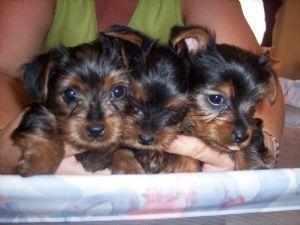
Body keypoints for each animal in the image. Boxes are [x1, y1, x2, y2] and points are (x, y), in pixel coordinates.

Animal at [10, 33, 129, 176]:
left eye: (118, 91)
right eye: (70, 92)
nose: (96, 130)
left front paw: (99, 157)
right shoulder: (40, 108)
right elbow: (43, 123)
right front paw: (39, 162)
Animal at [101, 26, 202, 174]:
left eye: (173, 112)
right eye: (134, 104)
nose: (146, 139)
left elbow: (188, 159)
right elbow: (120, 149)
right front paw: (128, 168)